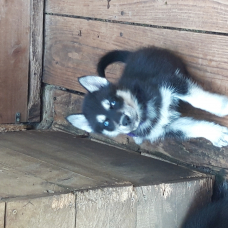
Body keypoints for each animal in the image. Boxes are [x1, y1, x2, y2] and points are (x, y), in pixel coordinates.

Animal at [67, 47, 228, 147]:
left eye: (113, 102)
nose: (125, 120)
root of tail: (131, 55)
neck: (144, 111)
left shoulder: (169, 83)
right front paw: (216, 134)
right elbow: (192, 128)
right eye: (106, 124)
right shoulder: (166, 128)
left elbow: (196, 99)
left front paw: (222, 107)